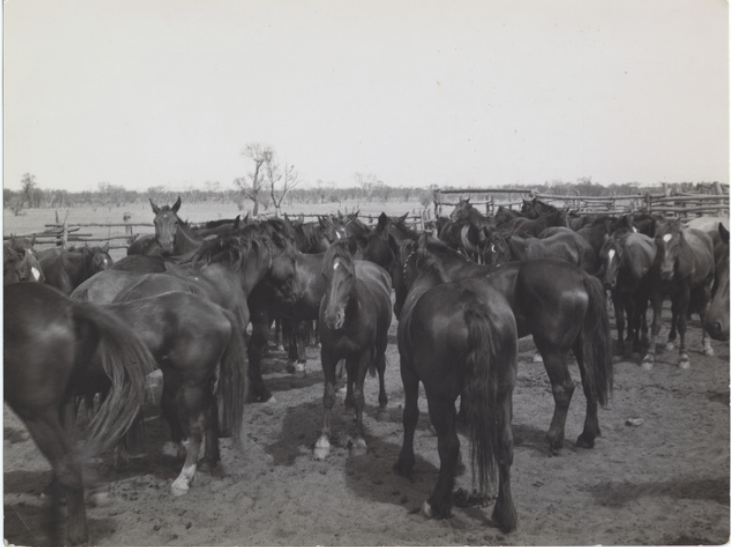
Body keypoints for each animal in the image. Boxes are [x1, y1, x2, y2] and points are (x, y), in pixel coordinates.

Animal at [3, 282, 155, 544]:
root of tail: (69, 308)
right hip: (62, 405)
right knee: (69, 458)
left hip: (38, 413)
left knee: (69, 467)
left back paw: (75, 535)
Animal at [314, 242, 394, 460]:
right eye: (324, 274)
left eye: (349, 275)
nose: (332, 317)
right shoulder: (328, 354)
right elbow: (329, 395)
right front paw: (323, 441)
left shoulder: (364, 354)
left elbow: (360, 396)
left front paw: (359, 440)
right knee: (350, 371)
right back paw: (348, 404)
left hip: (381, 340)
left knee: (381, 366)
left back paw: (382, 406)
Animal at [392, 235, 616, 454]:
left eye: (401, 264)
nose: (397, 307)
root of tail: (582, 277)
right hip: (581, 345)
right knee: (590, 383)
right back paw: (587, 436)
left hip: (552, 350)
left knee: (564, 388)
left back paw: (554, 439)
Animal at [394, 239, 520, 532]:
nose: (395, 305)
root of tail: (472, 306)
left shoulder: (408, 370)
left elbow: (410, 415)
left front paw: (405, 462)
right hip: (503, 392)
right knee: (504, 443)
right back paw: (504, 513)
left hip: (437, 395)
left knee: (448, 446)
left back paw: (436, 504)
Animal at [640, 220, 716, 370]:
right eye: (657, 243)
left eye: (676, 244)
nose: (666, 272)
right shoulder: (657, 294)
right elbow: (656, 324)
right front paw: (649, 357)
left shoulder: (684, 294)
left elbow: (682, 325)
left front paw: (683, 357)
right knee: (675, 311)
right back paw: (670, 340)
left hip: (705, 287)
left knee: (703, 312)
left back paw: (706, 346)